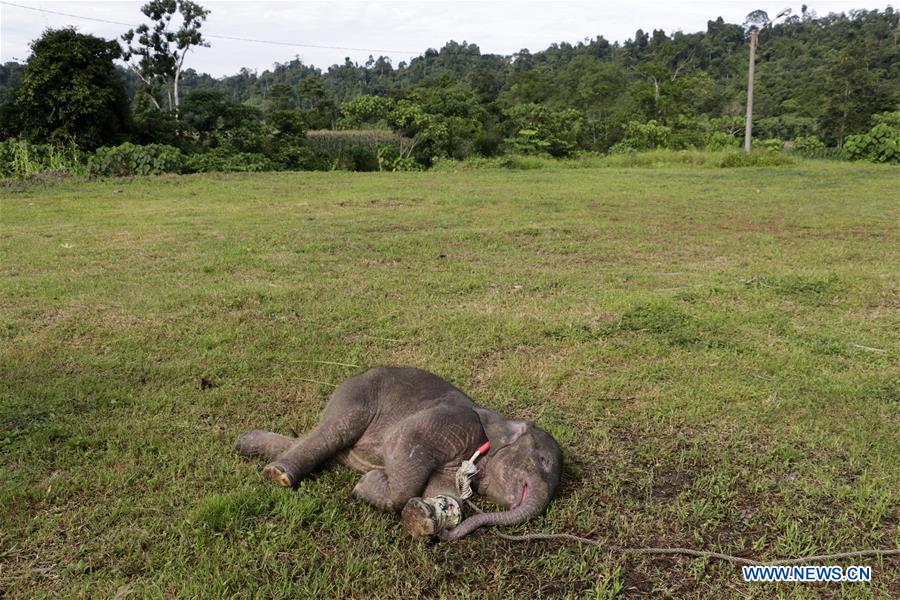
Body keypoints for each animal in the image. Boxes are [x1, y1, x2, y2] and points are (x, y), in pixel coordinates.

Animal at [234, 366, 563, 540]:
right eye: (543, 461)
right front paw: (365, 485)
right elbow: (403, 439)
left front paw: (424, 515)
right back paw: (278, 475)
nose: (443, 537)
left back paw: (245, 443)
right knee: (334, 431)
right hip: (357, 396)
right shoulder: (449, 422)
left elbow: (443, 490)